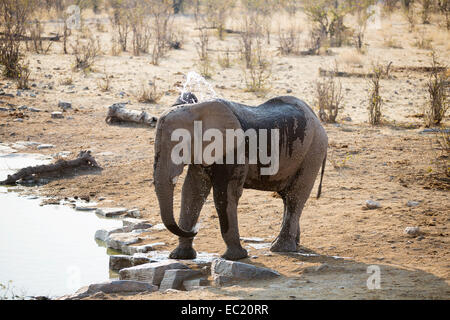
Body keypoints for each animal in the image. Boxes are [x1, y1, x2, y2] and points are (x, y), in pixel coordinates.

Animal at [154, 92, 326, 260]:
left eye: (179, 148)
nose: (196, 230)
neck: (195, 108)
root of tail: (316, 118)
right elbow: (192, 192)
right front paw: (180, 256)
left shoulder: (235, 151)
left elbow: (224, 194)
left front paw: (235, 257)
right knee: (287, 197)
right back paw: (293, 245)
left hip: (313, 151)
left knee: (294, 197)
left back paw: (280, 248)